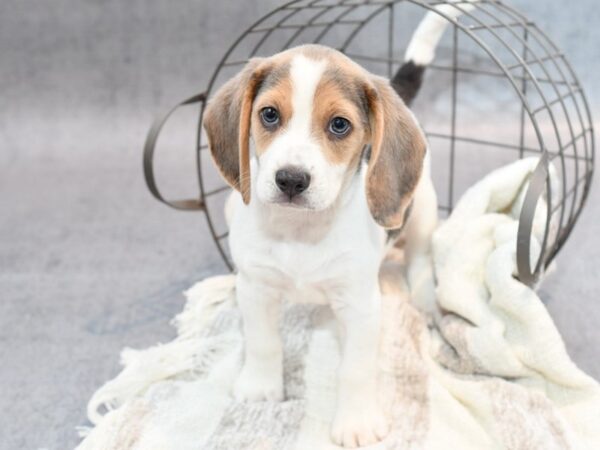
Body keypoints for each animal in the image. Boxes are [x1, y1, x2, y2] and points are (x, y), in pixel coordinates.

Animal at [203, 44, 436, 448]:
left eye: (339, 125)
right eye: (269, 114)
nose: (291, 179)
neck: (301, 230)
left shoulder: (359, 306)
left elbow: (355, 369)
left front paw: (356, 422)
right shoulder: (256, 288)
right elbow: (263, 342)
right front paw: (260, 388)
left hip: (422, 208)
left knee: (419, 256)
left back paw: (423, 296)